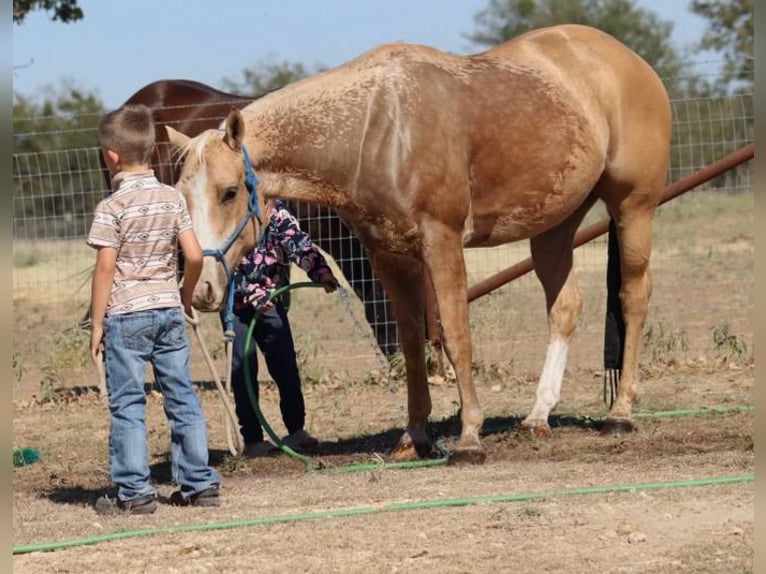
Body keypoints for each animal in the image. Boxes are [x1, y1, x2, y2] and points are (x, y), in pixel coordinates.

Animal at [170, 24, 672, 466]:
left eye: (229, 192)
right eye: (181, 193)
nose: (203, 289)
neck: (376, 129)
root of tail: (629, 61)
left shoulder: (442, 241)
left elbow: (454, 335)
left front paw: (469, 437)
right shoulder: (389, 256)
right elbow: (410, 342)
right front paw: (415, 438)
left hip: (633, 207)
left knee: (633, 297)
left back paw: (620, 413)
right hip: (555, 225)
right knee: (565, 307)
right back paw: (538, 416)